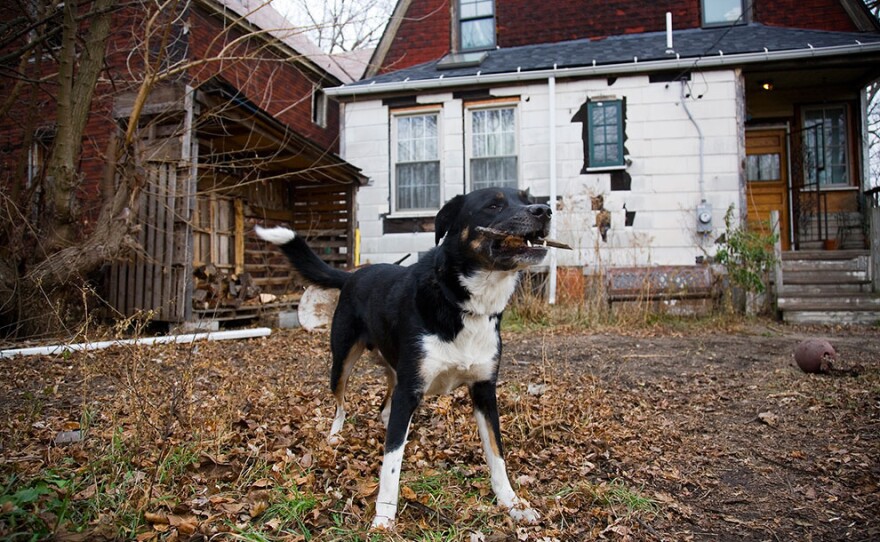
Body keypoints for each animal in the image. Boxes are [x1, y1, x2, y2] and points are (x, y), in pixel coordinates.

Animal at [256, 188, 556, 532]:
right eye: (494, 204)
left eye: (527, 199)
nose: (544, 210)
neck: (462, 301)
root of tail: (353, 275)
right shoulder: (410, 389)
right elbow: (391, 464)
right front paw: (384, 517)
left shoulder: (484, 390)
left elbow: (497, 454)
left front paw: (513, 503)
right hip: (342, 362)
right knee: (341, 403)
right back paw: (334, 436)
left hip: (394, 371)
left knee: (384, 407)